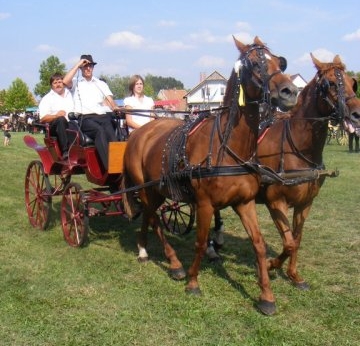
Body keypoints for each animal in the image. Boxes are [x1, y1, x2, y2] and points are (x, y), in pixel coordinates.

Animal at [121, 36, 298, 314]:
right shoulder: (204, 204)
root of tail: (139, 133)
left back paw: (147, 250)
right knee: (153, 217)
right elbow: (201, 242)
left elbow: (258, 244)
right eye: (254, 64)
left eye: (280, 62)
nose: (290, 92)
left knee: (150, 216)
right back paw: (168, 261)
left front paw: (266, 296)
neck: (228, 147)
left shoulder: (244, 202)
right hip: (148, 189)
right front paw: (193, 282)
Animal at [211, 54, 360, 290]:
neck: (297, 147)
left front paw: (294, 275)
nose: (356, 114)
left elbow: (296, 240)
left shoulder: (305, 203)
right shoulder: (275, 201)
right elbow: (288, 243)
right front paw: (270, 264)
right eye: (330, 84)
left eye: (351, 82)